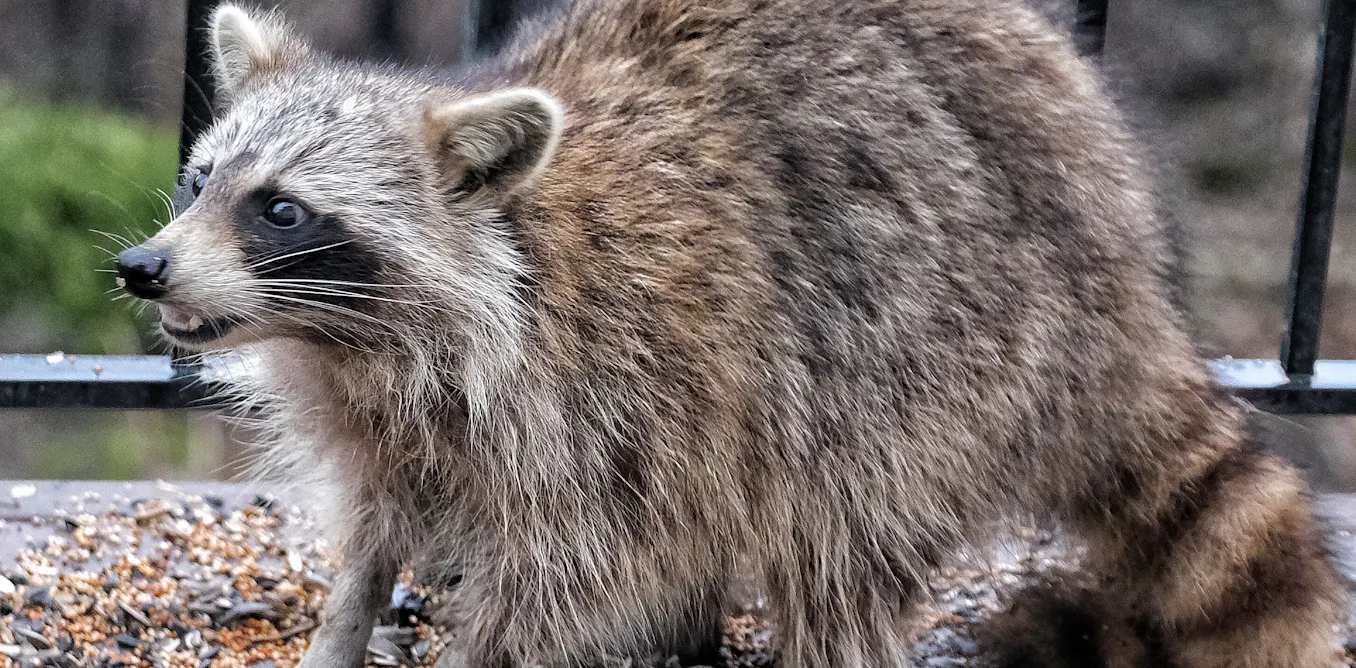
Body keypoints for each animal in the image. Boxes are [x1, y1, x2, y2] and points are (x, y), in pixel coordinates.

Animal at [114, 0, 1340, 666]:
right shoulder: (383, 418)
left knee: (839, 537)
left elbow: (568, 573)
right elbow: (376, 528)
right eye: (200, 178)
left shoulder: (612, 392)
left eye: (280, 210)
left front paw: (476, 647)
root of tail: (1129, 291)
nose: (143, 266)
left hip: (940, 354)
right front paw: (345, 619)